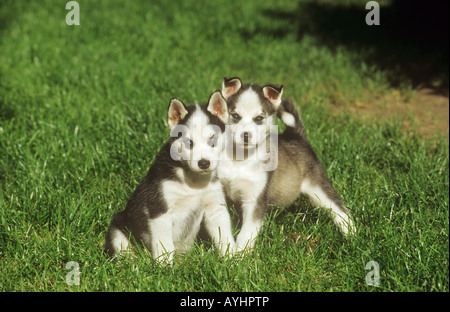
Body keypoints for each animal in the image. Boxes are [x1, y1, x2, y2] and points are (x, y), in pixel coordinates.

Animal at [103, 91, 234, 264]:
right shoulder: (159, 211)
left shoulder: (215, 209)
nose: (204, 163)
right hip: (118, 229)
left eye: (212, 139)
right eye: (188, 142)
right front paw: (165, 267)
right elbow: (164, 245)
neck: (193, 181)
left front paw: (235, 260)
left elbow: (225, 238)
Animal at [220, 77, 356, 252]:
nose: (246, 135)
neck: (239, 158)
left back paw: (352, 236)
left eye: (259, 118)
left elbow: (246, 233)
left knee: (341, 210)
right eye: (235, 116)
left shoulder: (255, 199)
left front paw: (240, 256)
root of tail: (296, 135)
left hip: (319, 189)